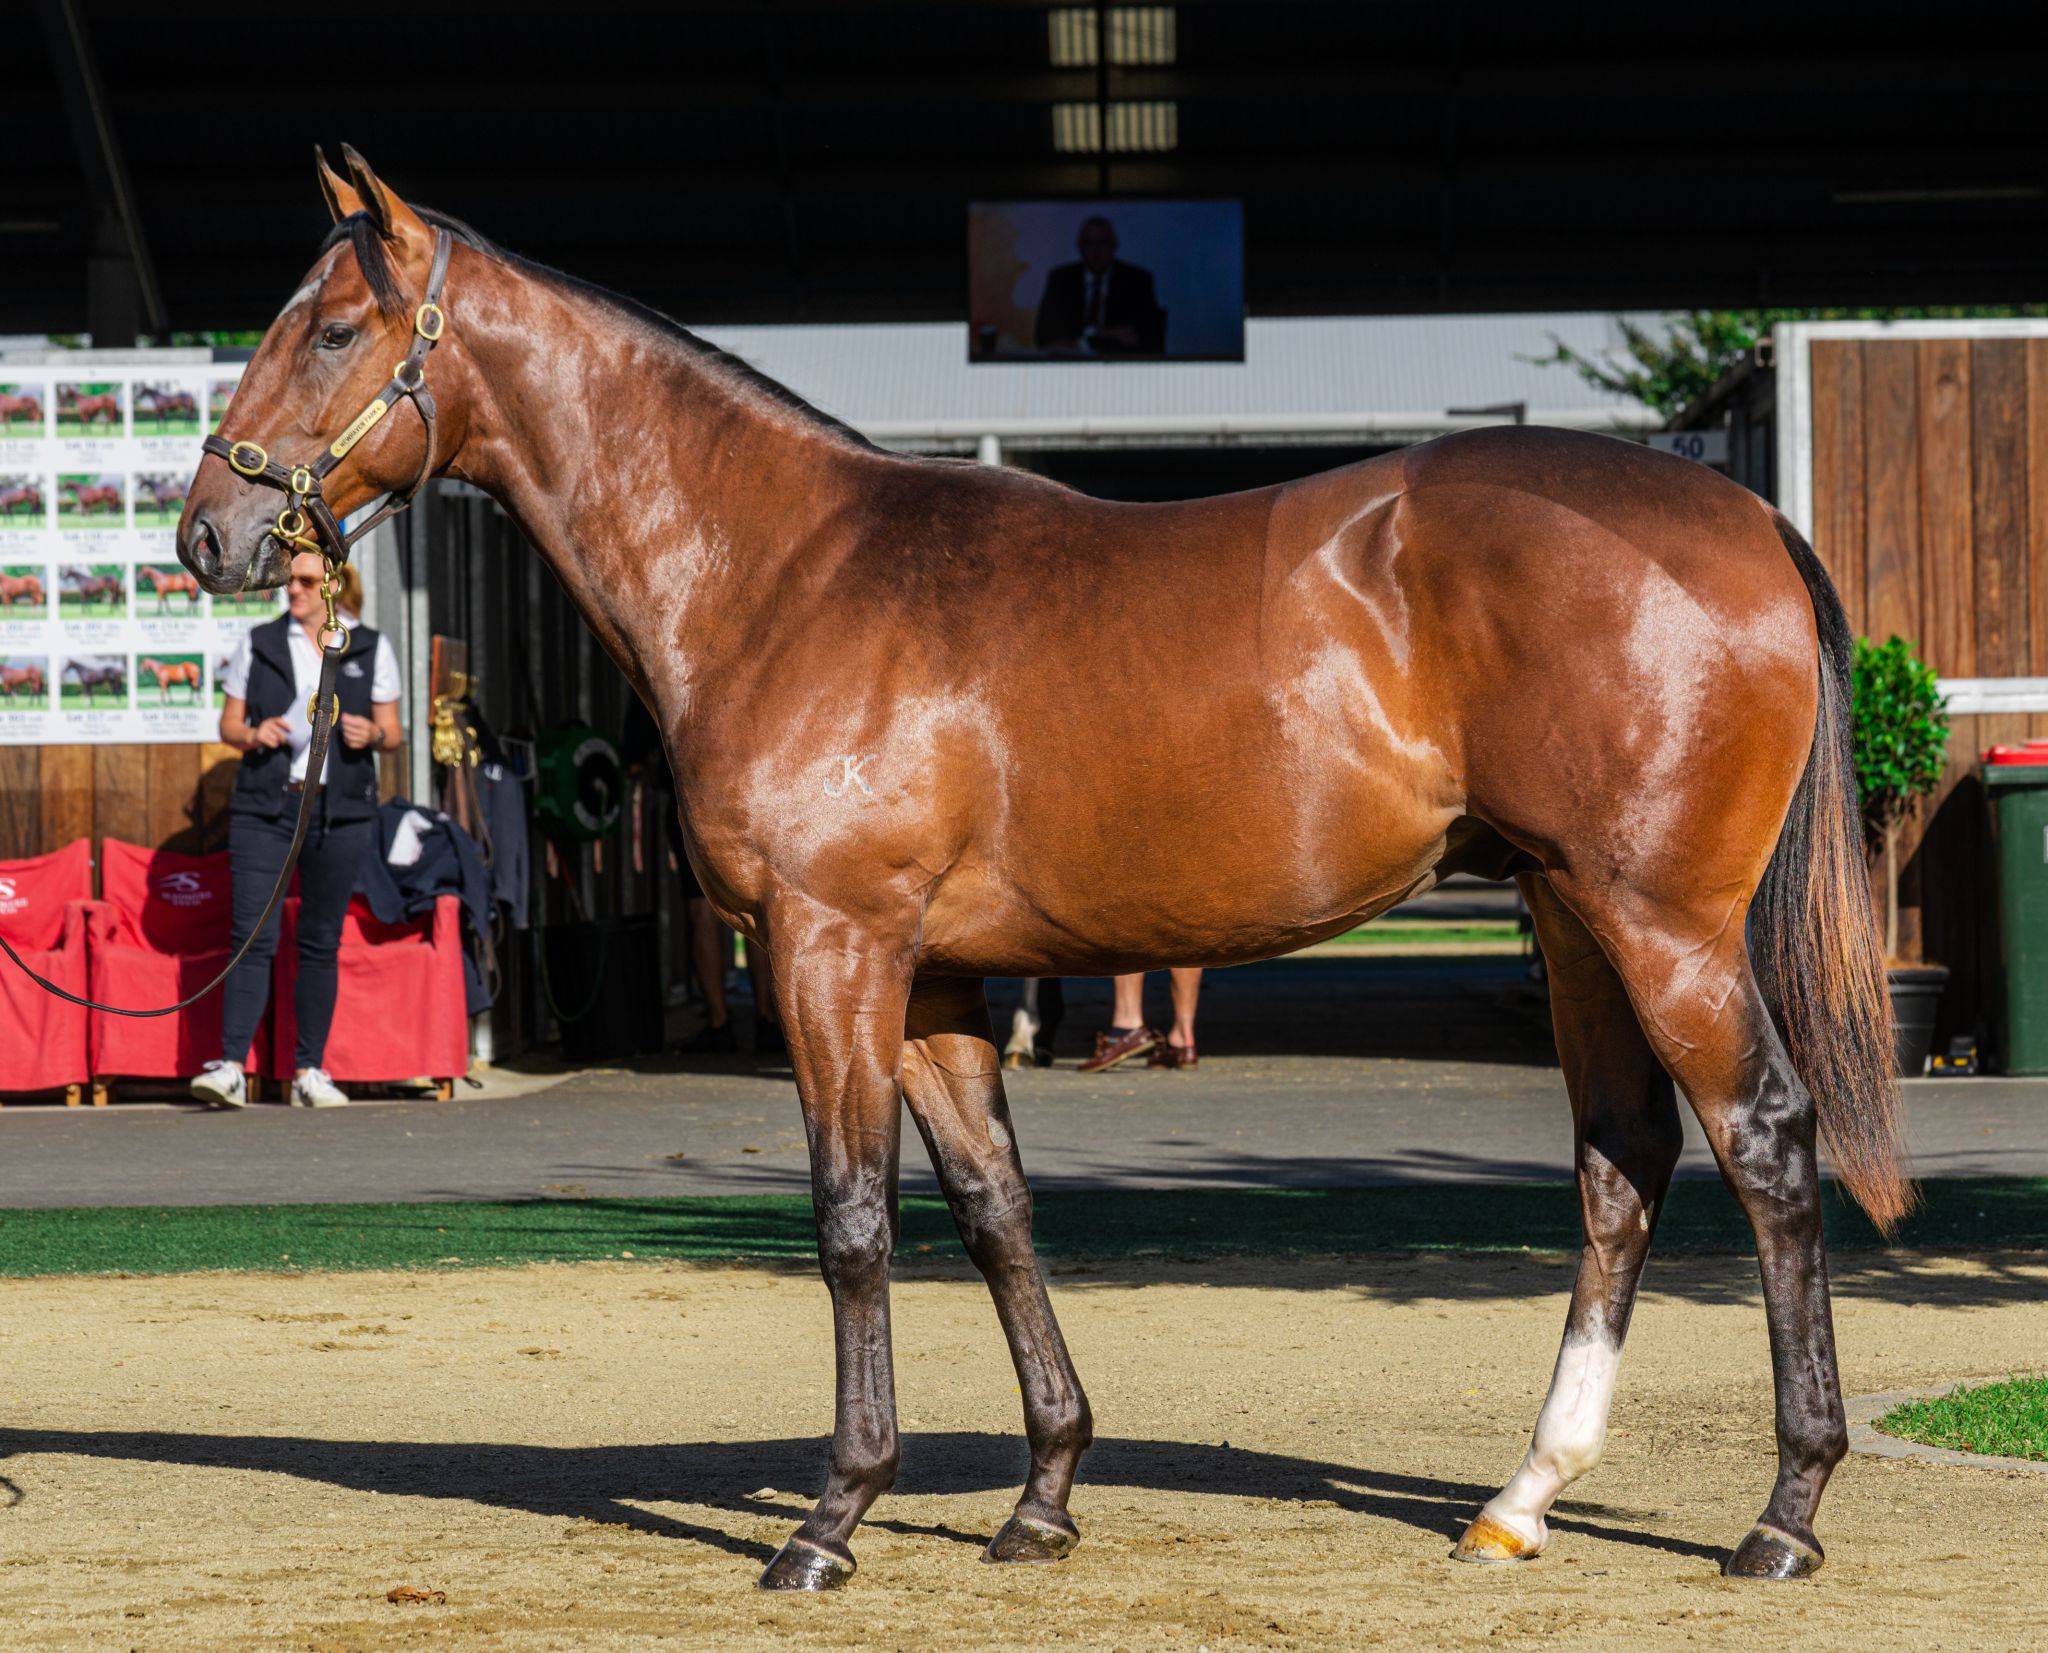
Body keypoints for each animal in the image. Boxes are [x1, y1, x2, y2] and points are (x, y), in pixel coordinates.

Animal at [176, 148, 1900, 1597]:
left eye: (334, 330)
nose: (208, 533)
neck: (783, 574)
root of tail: (1747, 517)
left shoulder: (833, 951)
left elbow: (852, 1218)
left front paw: (832, 1517)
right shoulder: (935, 981)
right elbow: (997, 1210)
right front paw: (1045, 1495)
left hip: (1659, 922)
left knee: (1764, 1140)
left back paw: (1785, 1513)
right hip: (1573, 913)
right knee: (1624, 1158)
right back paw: (1521, 1499)